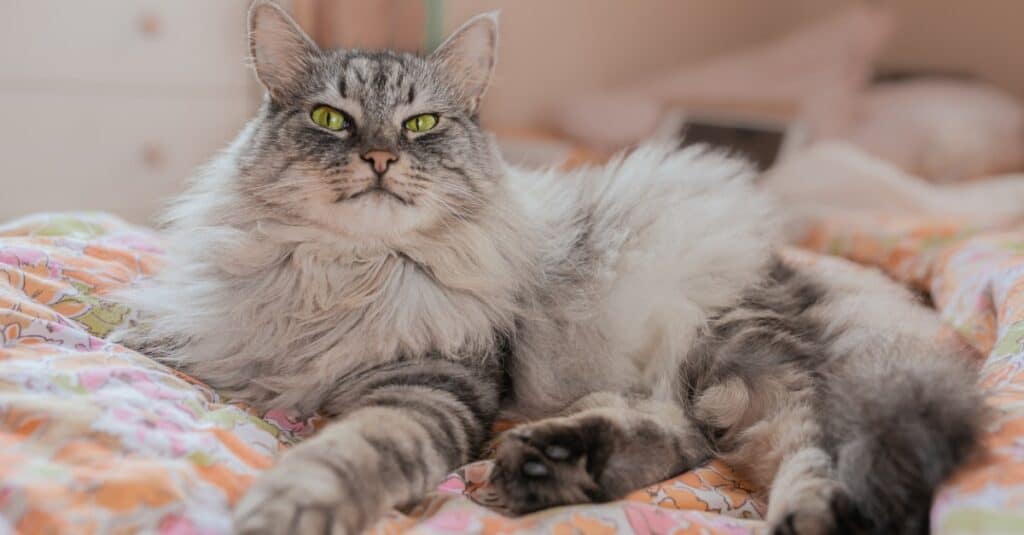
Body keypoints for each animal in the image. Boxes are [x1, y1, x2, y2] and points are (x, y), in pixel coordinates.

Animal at [112, 2, 983, 528]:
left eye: (421, 124)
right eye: (331, 118)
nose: (380, 158)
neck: (347, 271)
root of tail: (795, 269)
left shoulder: (428, 386)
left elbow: (343, 452)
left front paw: (287, 503)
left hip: (735, 346)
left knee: (800, 434)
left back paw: (801, 510)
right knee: (687, 435)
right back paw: (555, 466)